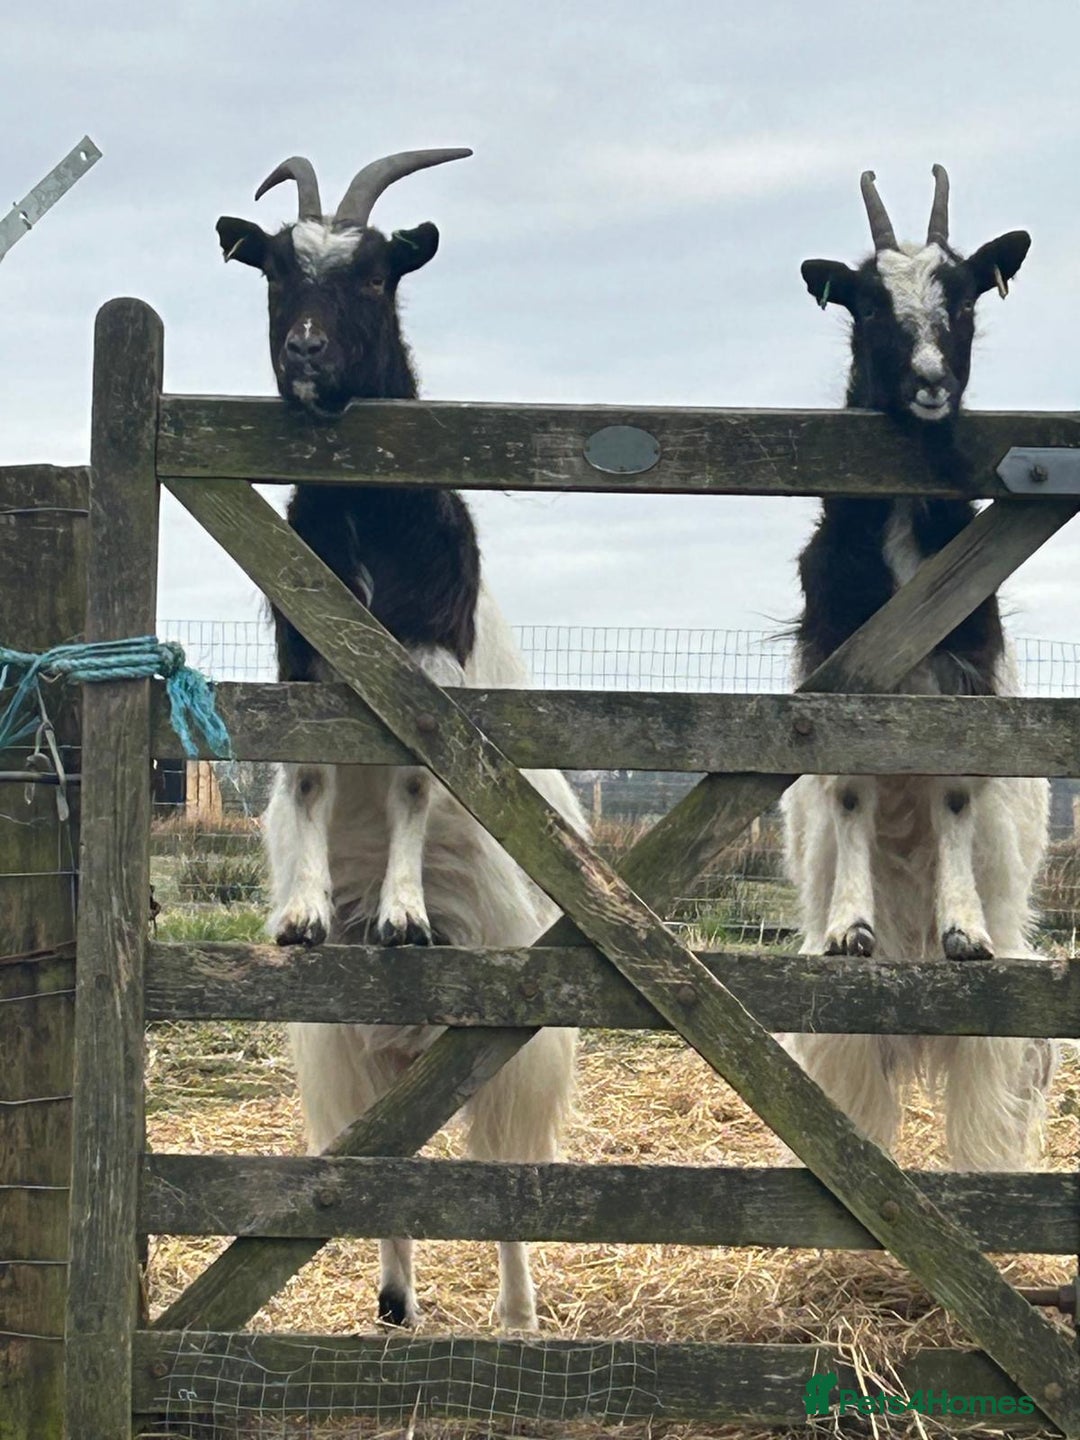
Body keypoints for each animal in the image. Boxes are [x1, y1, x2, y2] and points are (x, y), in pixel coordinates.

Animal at [218, 151, 589, 1329]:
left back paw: (517, 1318)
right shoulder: (303, 664)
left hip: (512, 1051)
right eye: (276, 270)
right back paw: (394, 1306)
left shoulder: (426, 668)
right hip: (353, 1056)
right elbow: (308, 778)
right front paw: (302, 916)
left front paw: (401, 916)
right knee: (384, 1172)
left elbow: (419, 787)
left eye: (377, 274)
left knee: (506, 1185)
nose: (305, 354)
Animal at [781, 166, 1056, 1170]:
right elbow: (854, 792)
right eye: (866, 302)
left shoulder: (963, 683)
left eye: (967, 295)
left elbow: (954, 797)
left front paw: (962, 928)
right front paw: (852, 927)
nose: (932, 384)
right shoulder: (839, 679)